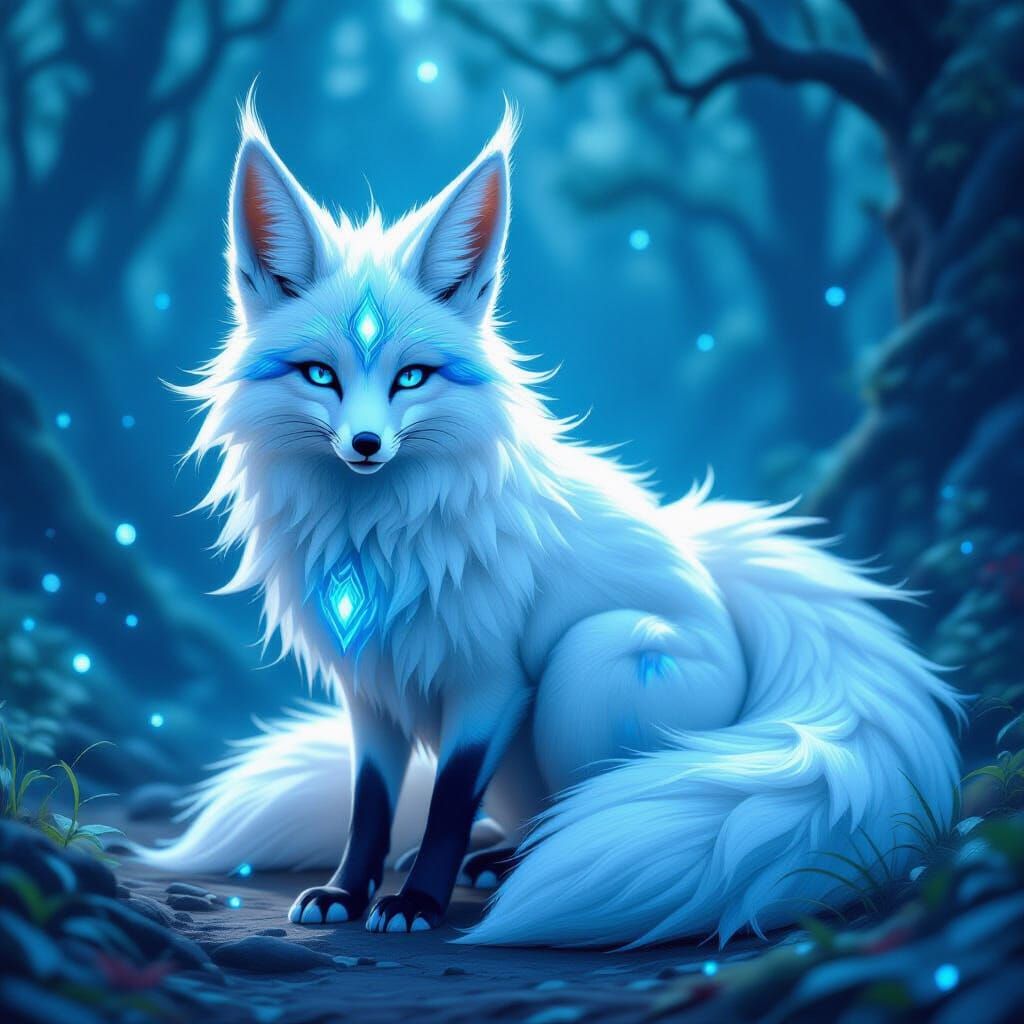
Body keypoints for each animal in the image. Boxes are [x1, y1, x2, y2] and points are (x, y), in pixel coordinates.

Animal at [142, 99, 963, 948]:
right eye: (319, 375)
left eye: (412, 378)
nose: (365, 445)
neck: (376, 539)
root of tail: (714, 576)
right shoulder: (367, 687)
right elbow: (372, 803)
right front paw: (347, 891)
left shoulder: (492, 681)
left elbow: (445, 800)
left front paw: (416, 905)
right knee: (533, 815)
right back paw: (493, 856)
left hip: (597, 661)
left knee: (589, 806)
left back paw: (512, 868)